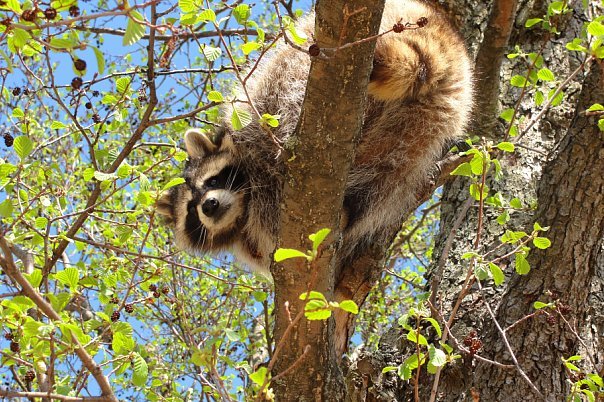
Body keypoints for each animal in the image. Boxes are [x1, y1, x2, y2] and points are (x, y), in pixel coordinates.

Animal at [157, 0, 476, 280]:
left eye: (212, 180)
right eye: (191, 209)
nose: (209, 205)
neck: (240, 210)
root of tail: (439, 25)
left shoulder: (252, 140)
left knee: (290, 84)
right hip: (424, 125)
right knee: (388, 176)